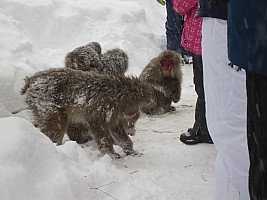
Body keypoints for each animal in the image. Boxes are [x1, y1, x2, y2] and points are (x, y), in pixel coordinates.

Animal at [21, 68, 155, 159]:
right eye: (138, 105)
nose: (135, 112)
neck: (116, 96)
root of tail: (31, 82)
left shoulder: (115, 114)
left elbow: (116, 129)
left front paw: (130, 150)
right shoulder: (102, 107)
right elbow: (98, 126)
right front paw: (110, 153)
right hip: (45, 101)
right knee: (57, 125)